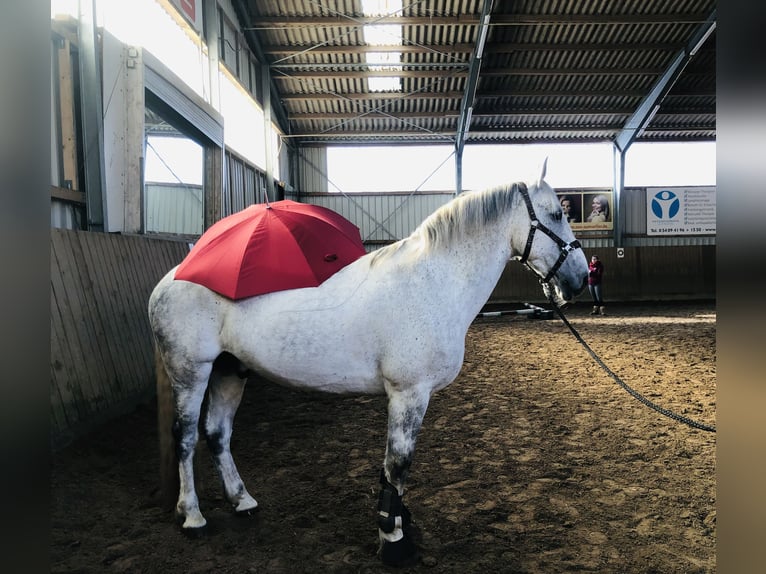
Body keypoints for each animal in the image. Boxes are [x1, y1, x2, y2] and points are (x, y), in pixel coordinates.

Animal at [147, 159, 588, 567]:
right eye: (556, 214)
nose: (580, 278)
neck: (432, 282)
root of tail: (170, 280)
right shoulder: (409, 394)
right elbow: (398, 465)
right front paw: (393, 541)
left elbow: (393, 470)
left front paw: (398, 523)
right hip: (191, 372)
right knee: (186, 437)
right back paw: (192, 517)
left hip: (230, 370)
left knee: (218, 433)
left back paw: (242, 501)